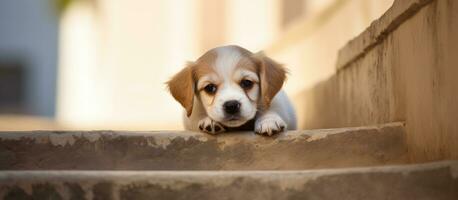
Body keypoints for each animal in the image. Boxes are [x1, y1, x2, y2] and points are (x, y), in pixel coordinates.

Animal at [168, 45, 296, 136]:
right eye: (210, 88)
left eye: (247, 83)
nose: (231, 105)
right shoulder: (190, 119)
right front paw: (210, 121)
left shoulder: (280, 103)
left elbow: (272, 109)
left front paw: (269, 120)